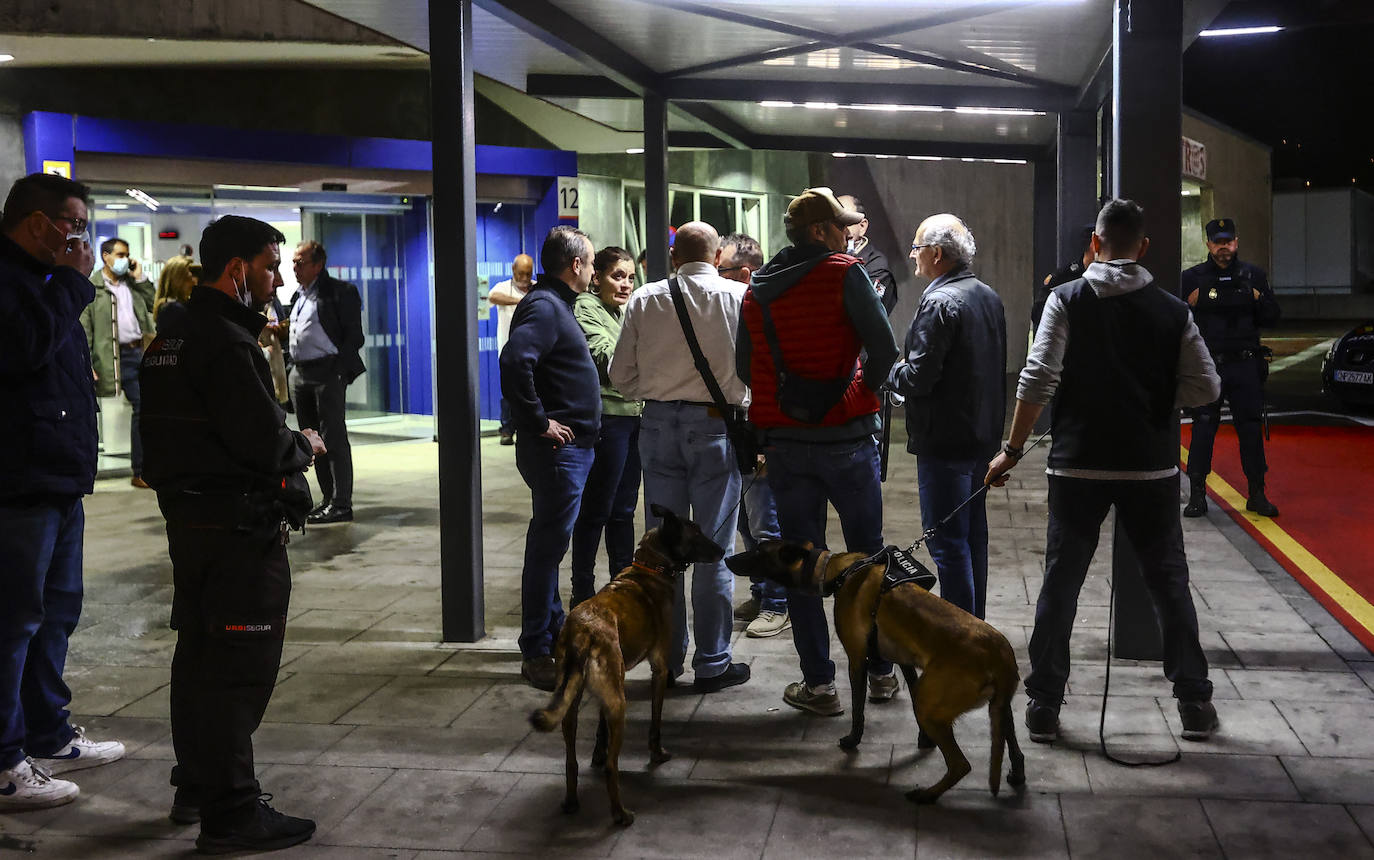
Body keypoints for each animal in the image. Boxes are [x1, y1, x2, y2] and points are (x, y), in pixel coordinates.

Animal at [527, 502, 725, 824]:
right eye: (695, 534)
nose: (721, 550)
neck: (648, 567)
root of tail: (583, 631)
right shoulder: (659, 668)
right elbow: (656, 721)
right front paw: (657, 753)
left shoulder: (606, 690)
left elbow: (600, 729)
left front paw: (597, 751)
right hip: (620, 704)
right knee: (612, 767)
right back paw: (620, 814)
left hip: (572, 705)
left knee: (571, 761)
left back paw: (571, 802)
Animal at [725, 538, 1027, 802]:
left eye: (759, 552)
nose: (727, 558)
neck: (838, 571)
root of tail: (1000, 652)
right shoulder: (906, 662)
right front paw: (924, 740)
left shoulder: (858, 658)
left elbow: (858, 709)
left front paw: (852, 740)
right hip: (997, 707)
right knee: (1013, 744)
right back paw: (1017, 774)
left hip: (931, 704)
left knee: (961, 764)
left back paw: (928, 795)